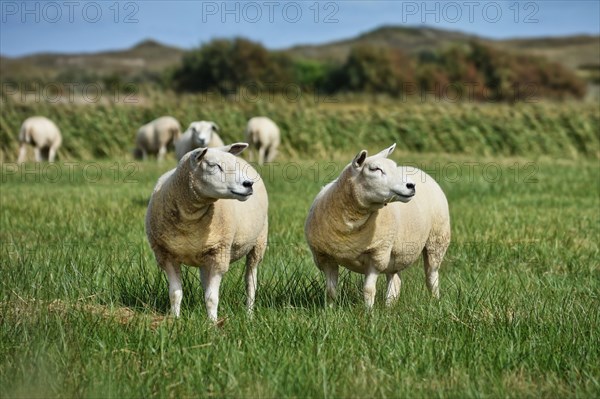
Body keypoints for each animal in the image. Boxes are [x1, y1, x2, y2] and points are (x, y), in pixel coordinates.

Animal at [145, 144, 268, 322]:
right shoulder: (165, 255)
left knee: (250, 281)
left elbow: (212, 297)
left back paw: (249, 314)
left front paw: (212, 323)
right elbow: (175, 294)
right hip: (204, 256)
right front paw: (175, 320)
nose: (248, 184)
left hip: (259, 242)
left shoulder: (219, 254)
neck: (190, 218)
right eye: (213, 165)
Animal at [304, 144, 450, 310]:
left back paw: (435, 302)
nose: (411, 185)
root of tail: (416, 169)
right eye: (375, 169)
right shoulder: (325, 258)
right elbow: (330, 291)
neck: (351, 225)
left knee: (432, 276)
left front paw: (368, 312)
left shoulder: (377, 255)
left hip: (437, 239)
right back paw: (389, 307)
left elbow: (368, 289)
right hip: (396, 251)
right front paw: (329, 311)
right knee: (395, 279)